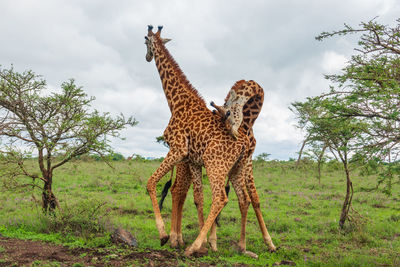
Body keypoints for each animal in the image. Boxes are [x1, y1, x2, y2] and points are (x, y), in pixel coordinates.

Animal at [144, 25, 276, 258]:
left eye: (145, 41)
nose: (147, 57)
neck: (177, 101)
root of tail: (244, 138)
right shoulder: (193, 160)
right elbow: (198, 197)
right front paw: (205, 243)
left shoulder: (178, 150)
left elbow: (152, 183)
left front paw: (165, 236)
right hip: (238, 166)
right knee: (245, 198)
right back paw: (243, 246)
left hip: (216, 164)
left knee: (220, 198)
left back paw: (191, 246)